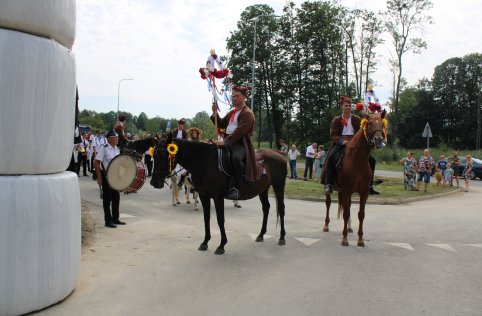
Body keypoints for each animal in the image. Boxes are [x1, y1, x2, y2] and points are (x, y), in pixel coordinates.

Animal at [151, 133, 286, 254]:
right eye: (154, 156)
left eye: (163, 156)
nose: (154, 182)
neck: (204, 162)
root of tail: (279, 154)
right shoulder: (204, 196)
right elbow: (206, 218)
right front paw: (205, 242)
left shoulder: (217, 197)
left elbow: (220, 219)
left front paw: (221, 245)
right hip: (263, 189)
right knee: (266, 208)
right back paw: (261, 235)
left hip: (279, 186)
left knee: (281, 209)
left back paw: (282, 237)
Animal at [324, 113, 388, 247]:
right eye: (370, 123)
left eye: (382, 124)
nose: (379, 140)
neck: (357, 160)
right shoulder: (347, 191)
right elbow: (346, 213)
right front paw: (344, 239)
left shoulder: (364, 193)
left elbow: (361, 214)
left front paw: (360, 239)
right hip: (331, 188)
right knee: (328, 203)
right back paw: (326, 225)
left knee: (345, 206)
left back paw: (349, 227)